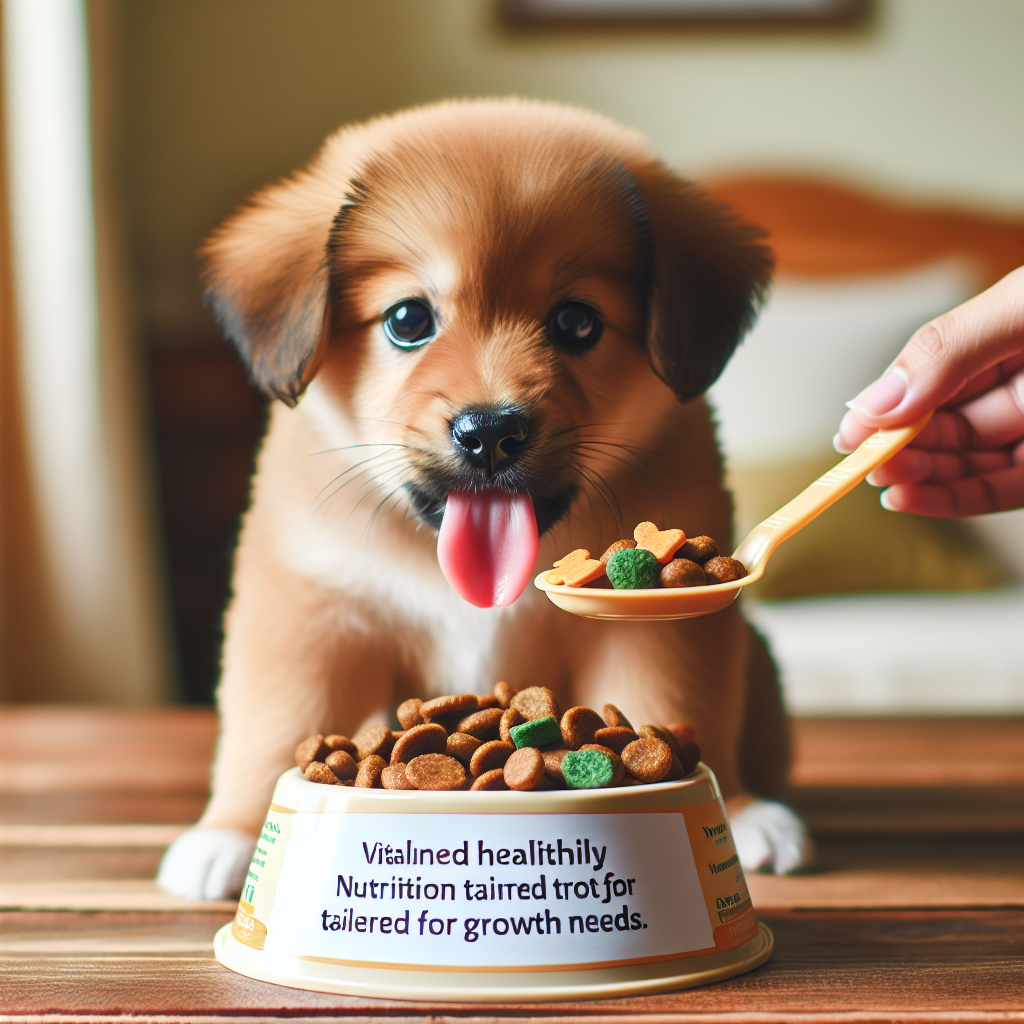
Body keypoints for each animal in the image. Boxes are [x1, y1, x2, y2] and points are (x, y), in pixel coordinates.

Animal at [157, 96, 806, 897]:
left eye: (576, 321)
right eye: (408, 319)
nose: (491, 432)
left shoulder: (658, 631)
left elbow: (679, 704)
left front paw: (735, 812)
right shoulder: (311, 613)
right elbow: (271, 724)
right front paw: (230, 832)